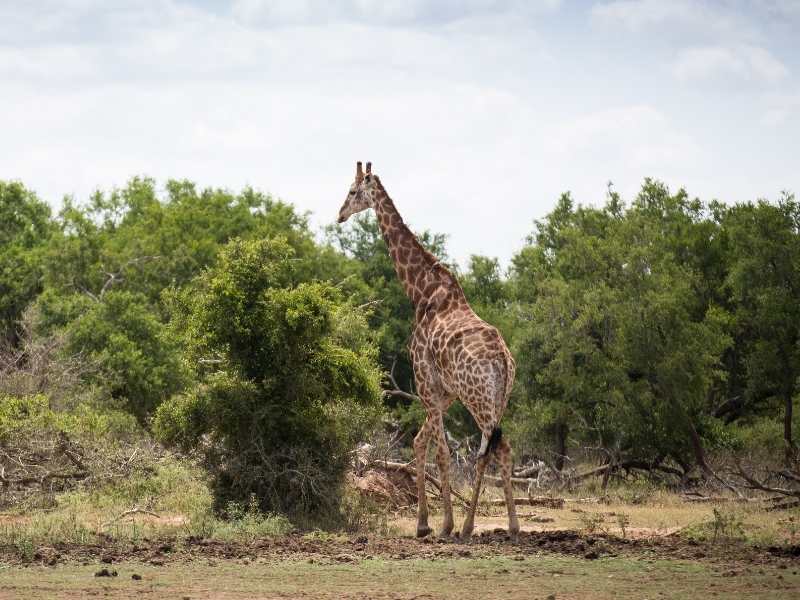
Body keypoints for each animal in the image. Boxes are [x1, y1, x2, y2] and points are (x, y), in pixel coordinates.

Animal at [336, 162, 520, 540]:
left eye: (352, 191)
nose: (340, 215)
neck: (420, 291)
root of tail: (503, 362)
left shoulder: (424, 380)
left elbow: (442, 453)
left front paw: (443, 524)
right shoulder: (443, 390)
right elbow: (422, 443)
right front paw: (423, 523)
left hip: (478, 398)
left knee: (492, 448)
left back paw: (476, 526)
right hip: (499, 399)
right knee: (499, 448)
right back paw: (497, 526)